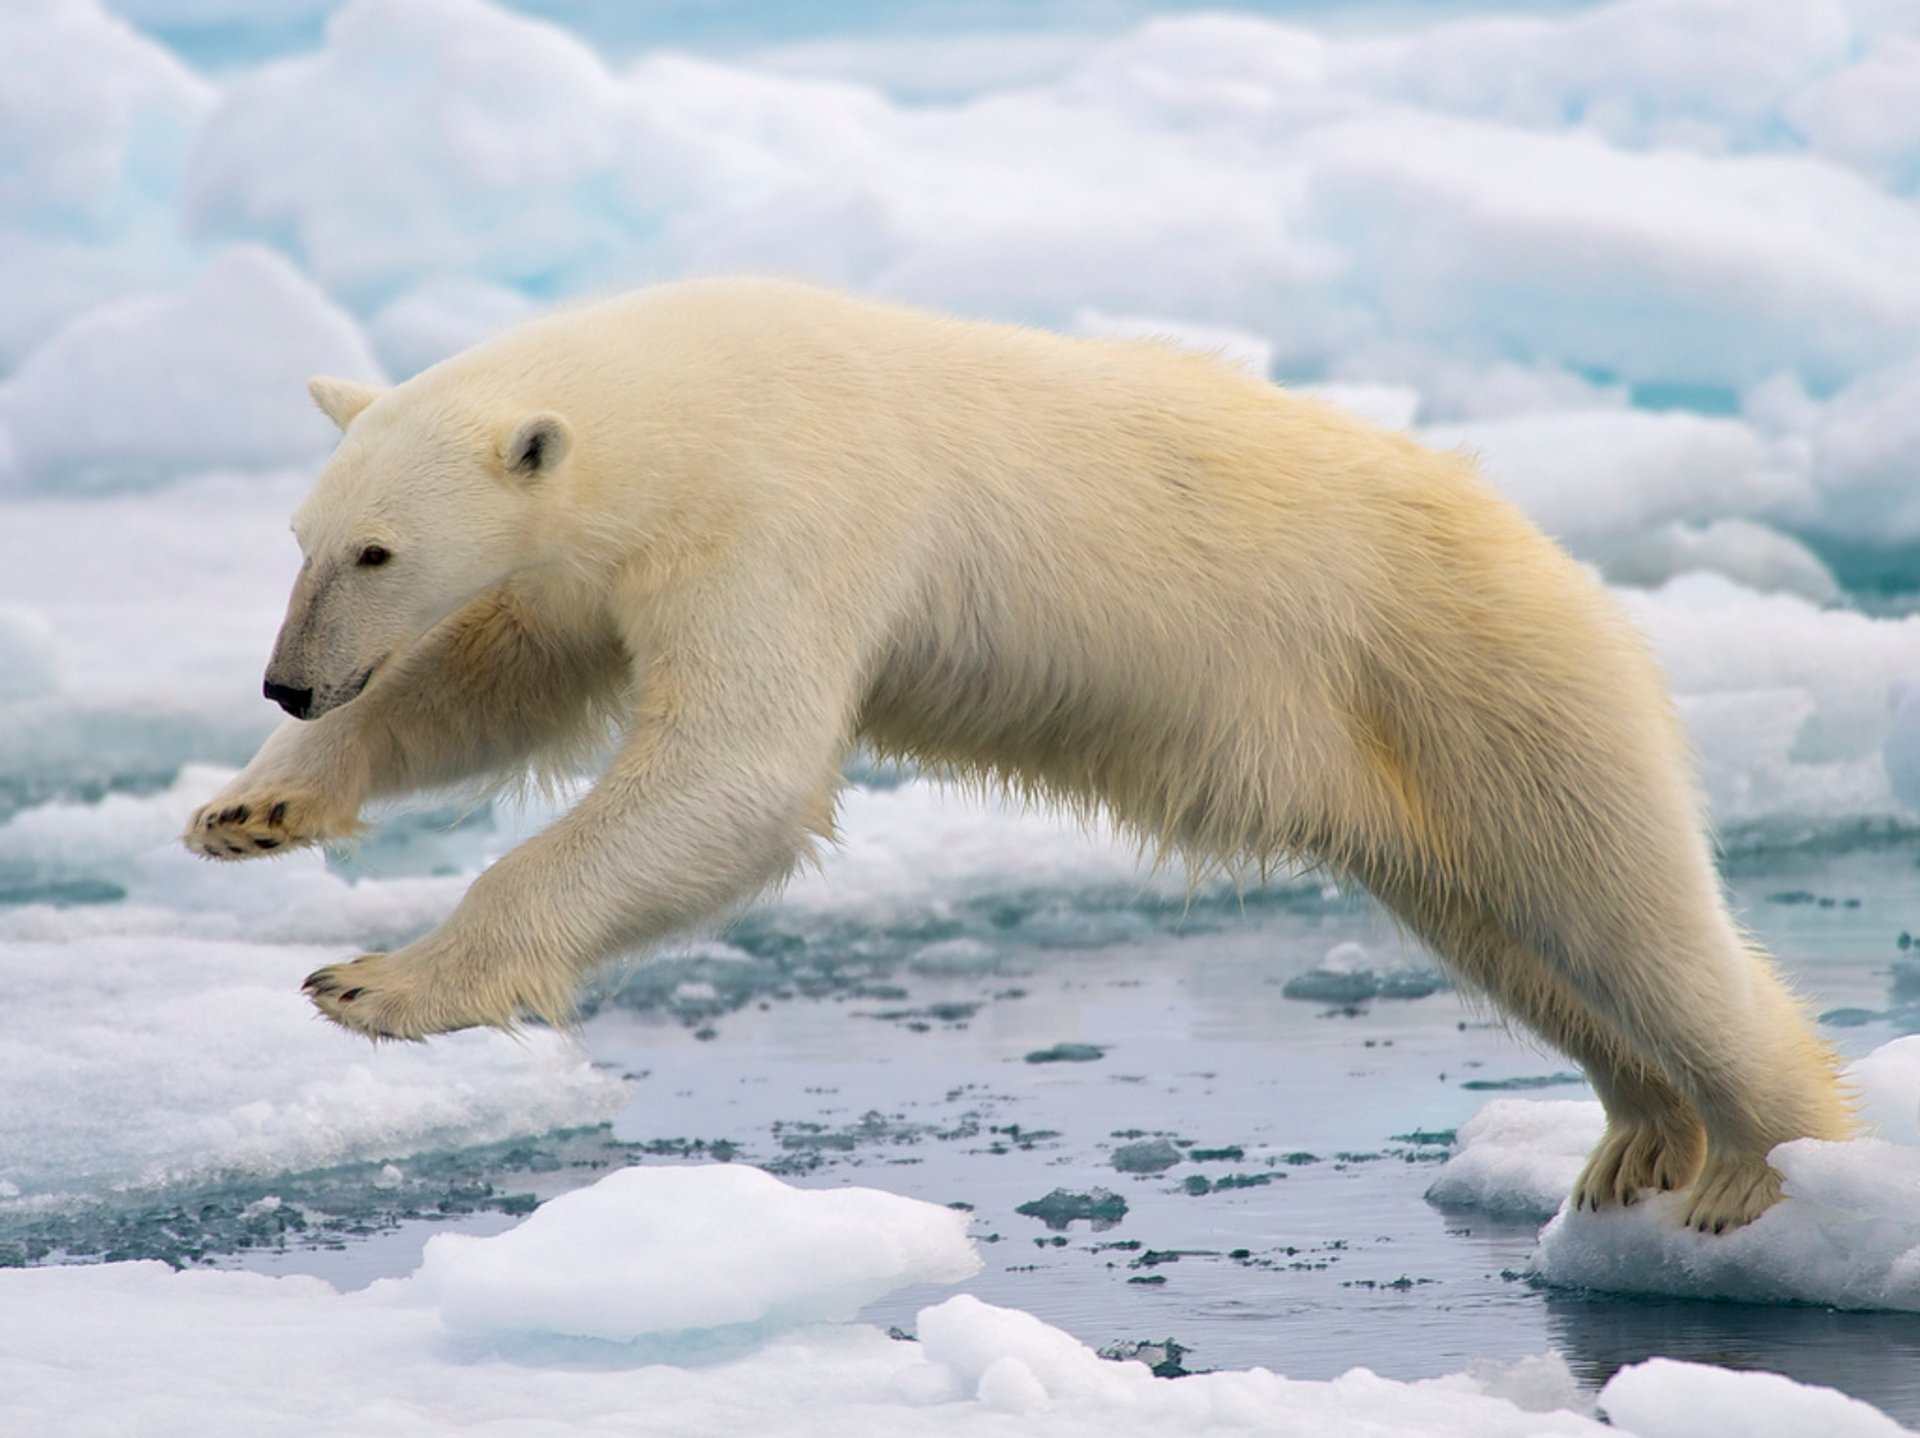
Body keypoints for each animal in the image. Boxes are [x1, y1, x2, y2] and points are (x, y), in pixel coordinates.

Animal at [191, 274, 1843, 1228]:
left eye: (378, 548)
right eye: (304, 537)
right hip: (1410, 766)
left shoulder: (793, 513)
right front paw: (254, 807)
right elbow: (500, 678)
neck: (694, 395)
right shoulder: (613, 559)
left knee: (1628, 913)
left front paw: (379, 981)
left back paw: (1759, 1163)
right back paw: (1639, 1135)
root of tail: (1558, 560)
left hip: (1482, 678)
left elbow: (735, 768)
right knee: (1515, 935)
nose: (287, 679)